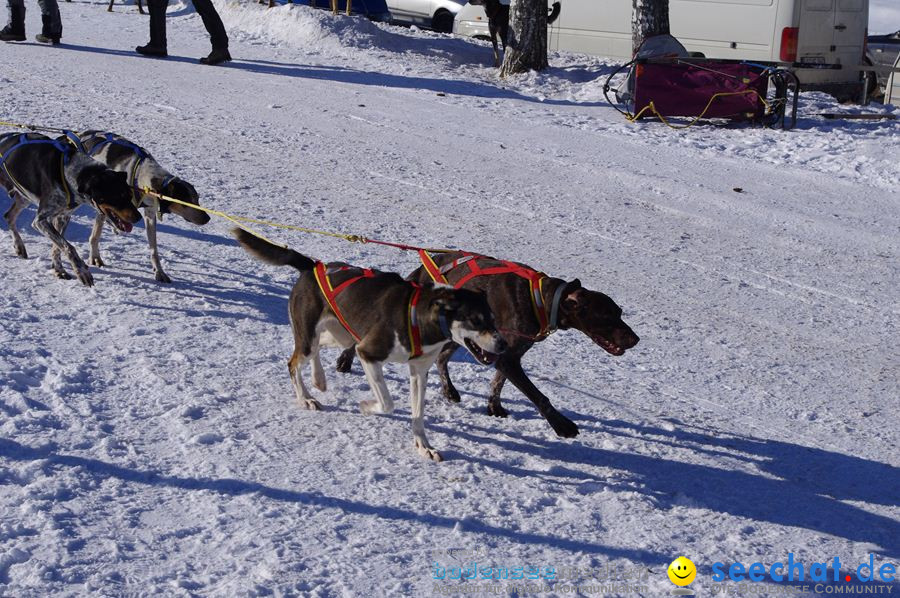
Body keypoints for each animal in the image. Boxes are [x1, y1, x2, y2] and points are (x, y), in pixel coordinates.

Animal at [0, 134, 142, 288]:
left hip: (24, 196)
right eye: (118, 196)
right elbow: (68, 246)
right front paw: (82, 271)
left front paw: (59, 270)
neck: (72, 173)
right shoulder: (40, 221)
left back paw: (19, 246)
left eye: (129, 195)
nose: (139, 217)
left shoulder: (63, 216)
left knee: (9, 216)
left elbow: (57, 247)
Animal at [75, 131, 209, 284]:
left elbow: (154, 249)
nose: (208, 218)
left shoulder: (149, 214)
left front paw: (159, 271)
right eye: (187, 202)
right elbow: (95, 235)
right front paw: (95, 258)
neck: (141, 180)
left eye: (197, 199)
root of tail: (83, 134)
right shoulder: (106, 207)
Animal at [234, 231, 506, 464]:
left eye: (493, 319)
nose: (503, 344)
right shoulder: (368, 353)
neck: (420, 316)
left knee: (317, 348)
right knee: (294, 361)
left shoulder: (419, 372)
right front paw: (366, 407)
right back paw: (306, 398)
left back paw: (318, 379)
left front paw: (424, 446)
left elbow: (418, 414)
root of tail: (312, 266)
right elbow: (386, 403)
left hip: (342, 336)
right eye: (475, 320)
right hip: (317, 337)